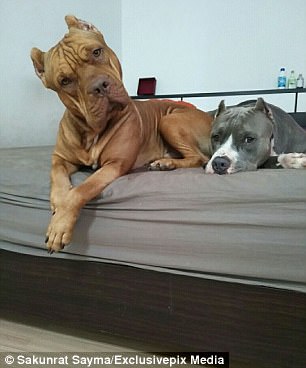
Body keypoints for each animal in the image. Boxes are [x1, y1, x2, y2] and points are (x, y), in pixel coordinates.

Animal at [31, 15, 213, 253]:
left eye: (96, 52)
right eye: (65, 81)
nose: (99, 86)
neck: (92, 130)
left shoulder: (115, 164)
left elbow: (81, 189)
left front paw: (60, 224)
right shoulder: (60, 158)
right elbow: (58, 176)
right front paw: (58, 201)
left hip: (169, 120)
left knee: (199, 157)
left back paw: (166, 163)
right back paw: (164, 161)